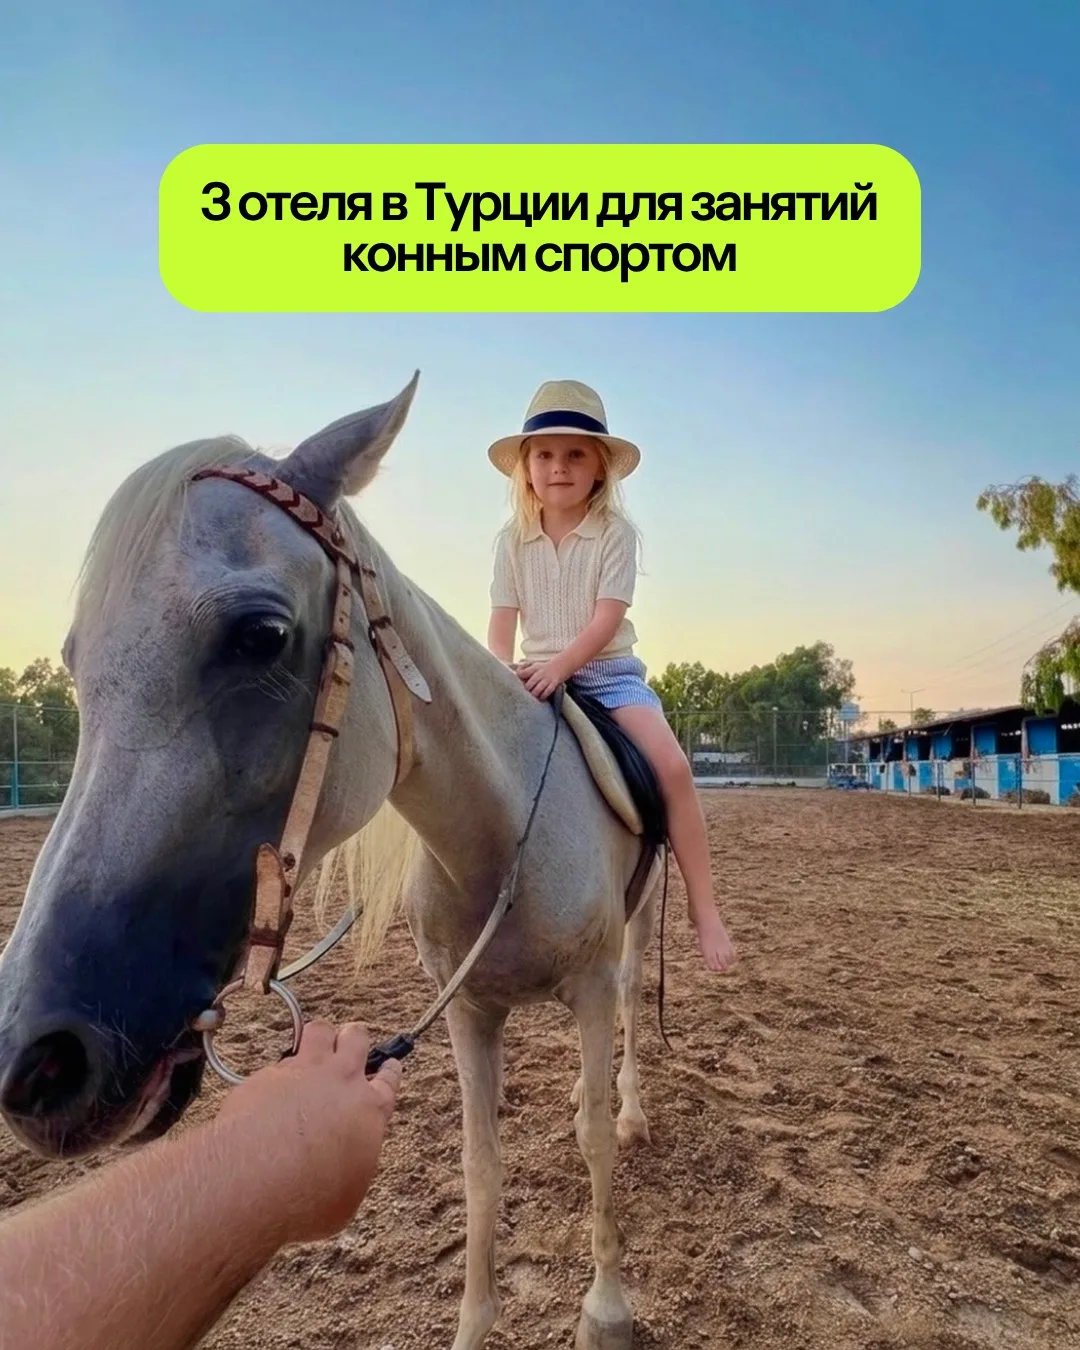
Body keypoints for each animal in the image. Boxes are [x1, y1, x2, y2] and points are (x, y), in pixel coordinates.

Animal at [0, 374, 665, 1350]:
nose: (34, 1063)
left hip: (637, 928)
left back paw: (635, 1107)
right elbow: (480, 1164)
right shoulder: (470, 1011)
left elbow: (591, 1139)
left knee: (629, 1004)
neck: (508, 836)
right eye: (78, 664)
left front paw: (607, 1309)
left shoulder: (581, 988)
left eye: (261, 635)